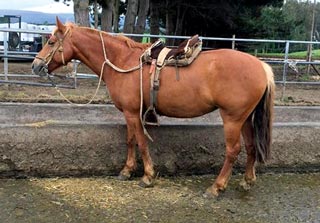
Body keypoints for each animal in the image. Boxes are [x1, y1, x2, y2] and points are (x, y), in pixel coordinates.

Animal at [31, 18, 274, 198]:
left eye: (51, 42)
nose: (35, 65)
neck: (123, 61)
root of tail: (260, 66)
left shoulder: (133, 113)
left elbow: (141, 142)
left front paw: (147, 176)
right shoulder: (129, 113)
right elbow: (130, 140)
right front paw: (126, 171)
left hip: (232, 118)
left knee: (233, 151)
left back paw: (216, 187)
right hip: (245, 118)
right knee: (251, 146)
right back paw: (247, 181)